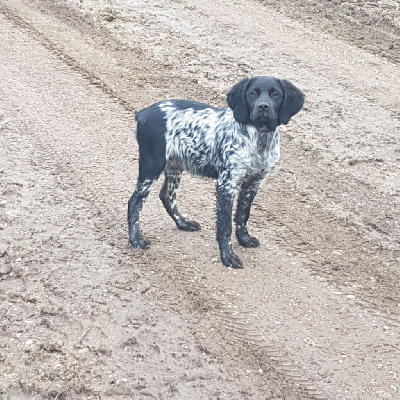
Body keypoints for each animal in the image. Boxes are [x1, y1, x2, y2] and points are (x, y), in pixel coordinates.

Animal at [128, 75, 304, 268]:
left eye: (275, 94)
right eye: (253, 93)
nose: (263, 106)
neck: (259, 139)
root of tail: (143, 113)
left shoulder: (253, 183)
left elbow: (242, 215)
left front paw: (244, 240)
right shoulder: (227, 184)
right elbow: (225, 226)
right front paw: (228, 256)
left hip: (175, 165)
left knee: (167, 195)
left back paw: (183, 223)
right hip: (152, 165)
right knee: (134, 202)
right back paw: (136, 240)